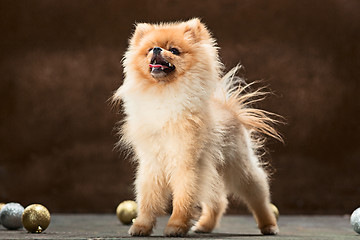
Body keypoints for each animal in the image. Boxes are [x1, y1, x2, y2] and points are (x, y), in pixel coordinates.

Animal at [114, 18, 282, 236]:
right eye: (150, 49)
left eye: (174, 50)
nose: (157, 49)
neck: (164, 93)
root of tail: (229, 108)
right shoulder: (151, 163)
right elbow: (148, 198)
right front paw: (141, 225)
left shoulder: (186, 162)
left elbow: (183, 197)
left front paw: (176, 226)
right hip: (212, 169)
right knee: (219, 201)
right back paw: (204, 225)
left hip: (239, 166)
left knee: (257, 193)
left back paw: (269, 224)